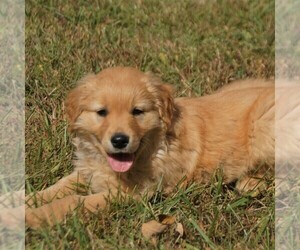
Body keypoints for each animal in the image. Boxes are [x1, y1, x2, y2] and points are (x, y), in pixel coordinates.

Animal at [25, 67, 274, 229]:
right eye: (101, 112)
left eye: (137, 111)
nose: (119, 140)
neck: (154, 146)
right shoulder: (88, 171)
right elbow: (57, 187)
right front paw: (22, 201)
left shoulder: (132, 192)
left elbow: (76, 201)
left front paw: (32, 217)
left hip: (264, 120)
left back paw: (250, 183)